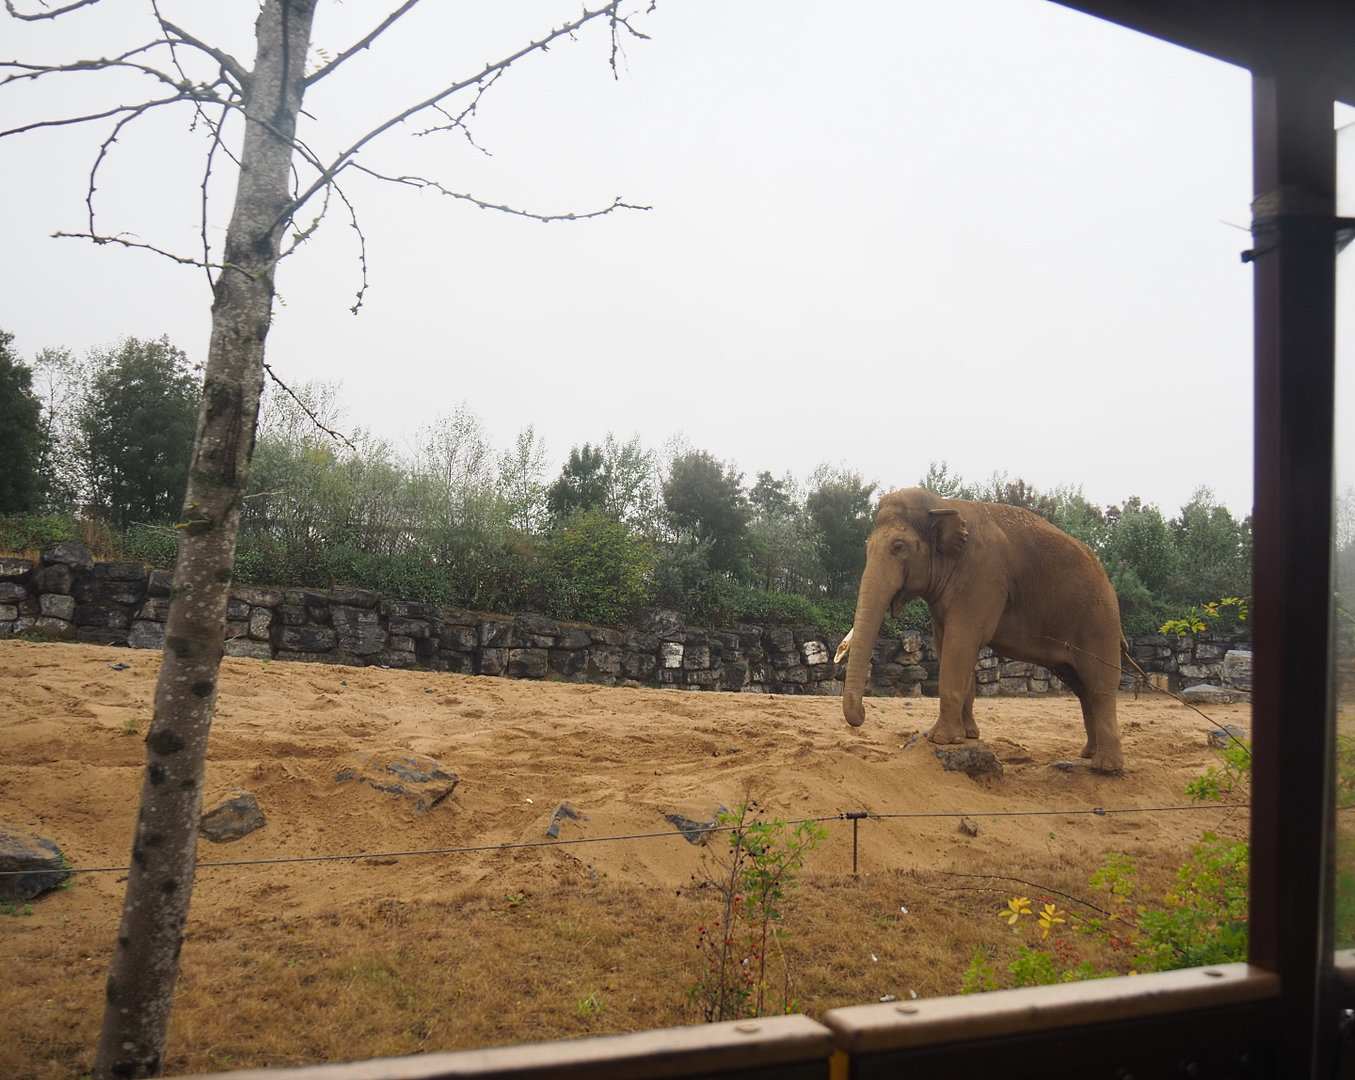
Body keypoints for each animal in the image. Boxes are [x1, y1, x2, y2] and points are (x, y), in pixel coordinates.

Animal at [839, 487, 1129, 772]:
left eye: (898, 547)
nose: (863, 713)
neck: (943, 504)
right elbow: (947, 646)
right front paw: (967, 736)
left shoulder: (983, 576)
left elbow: (961, 643)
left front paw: (940, 739)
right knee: (1081, 686)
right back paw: (1088, 754)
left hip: (1098, 621)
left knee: (1099, 684)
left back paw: (1106, 766)